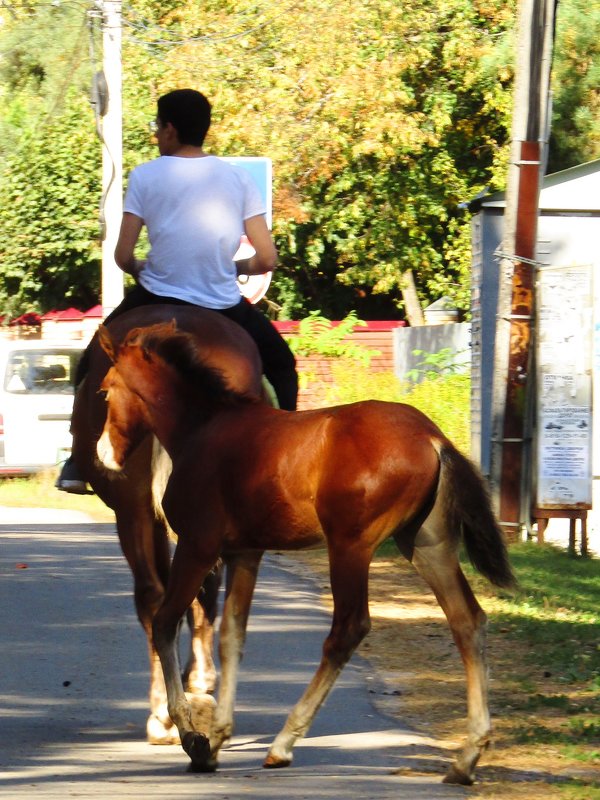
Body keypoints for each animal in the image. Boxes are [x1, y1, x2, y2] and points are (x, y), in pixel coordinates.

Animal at [68, 304, 264, 744]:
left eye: (106, 392)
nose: (104, 451)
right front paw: (198, 685)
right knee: (188, 592)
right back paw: (189, 696)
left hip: (134, 512)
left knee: (153, 595)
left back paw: (164, 712)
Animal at [96, 320, 512, 788]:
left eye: (105, 390)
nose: (103, 455)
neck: (202, 430)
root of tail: (433, 437)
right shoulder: (245, 553)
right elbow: (232, 636)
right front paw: (218, 737)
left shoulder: (197, 546)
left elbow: (166, 624)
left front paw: (193, 738)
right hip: (427, 543)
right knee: (467, 620)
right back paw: (467, 757)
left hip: (350, 545)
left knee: (349, 628)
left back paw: (283, 744)